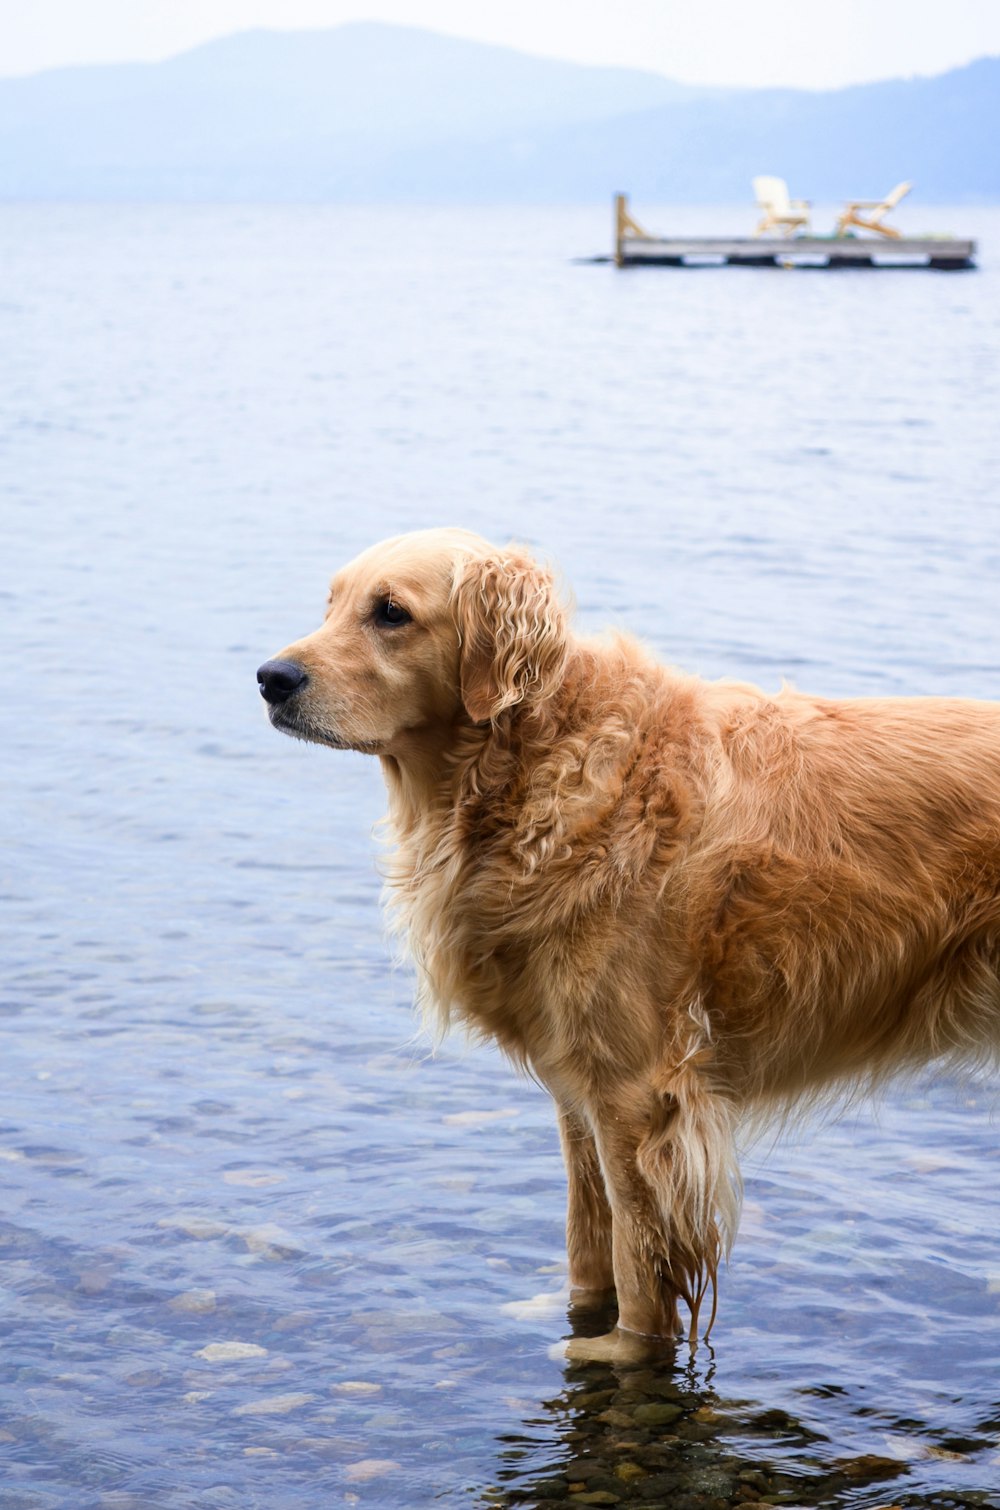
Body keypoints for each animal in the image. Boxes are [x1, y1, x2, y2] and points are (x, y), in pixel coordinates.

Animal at [256, 531, 1000, 1359]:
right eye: (330, 604)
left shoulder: (636, 1095)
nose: (270, 678)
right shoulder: (577, 1089)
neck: (539, 764)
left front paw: (616, 1351)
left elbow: (639, 1268)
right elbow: (589, 1245)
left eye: (390, 612)